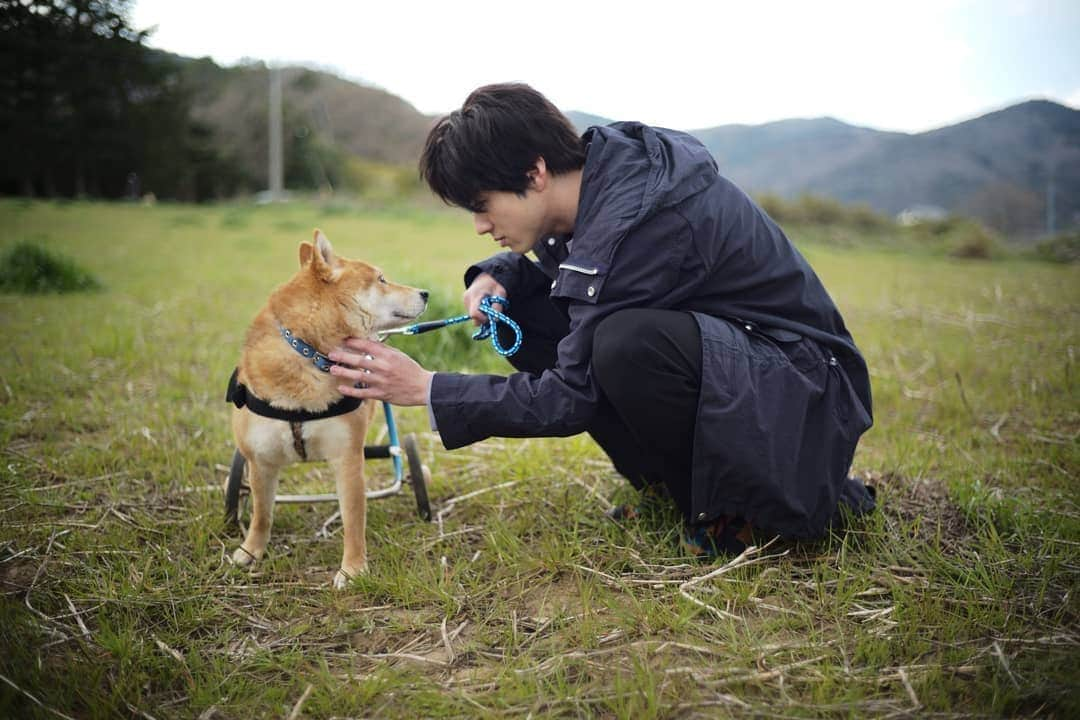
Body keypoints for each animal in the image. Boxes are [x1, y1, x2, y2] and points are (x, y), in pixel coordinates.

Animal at [227, 227, 425, 587]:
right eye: (382, 279)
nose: (426, 293)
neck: (309, 353)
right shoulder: (260, 460)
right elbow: (262, 513)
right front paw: (251, 552)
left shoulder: (347, 458)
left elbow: (353, 522)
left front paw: (353, 569)